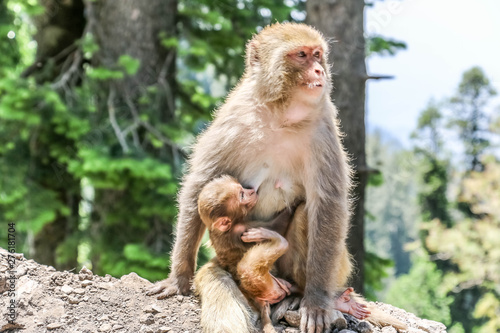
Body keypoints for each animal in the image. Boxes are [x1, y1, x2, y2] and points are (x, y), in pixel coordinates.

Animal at [148, 22, 356, 330]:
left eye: (318, 55)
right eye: (302, 55)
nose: (319, 70)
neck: (281, 115)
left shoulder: (323, 130)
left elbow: (327, 204)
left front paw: (317, 302)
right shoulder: (233, 119)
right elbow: (200, 183)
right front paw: (179, 277)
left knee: (307, 213)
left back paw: (301, 293)